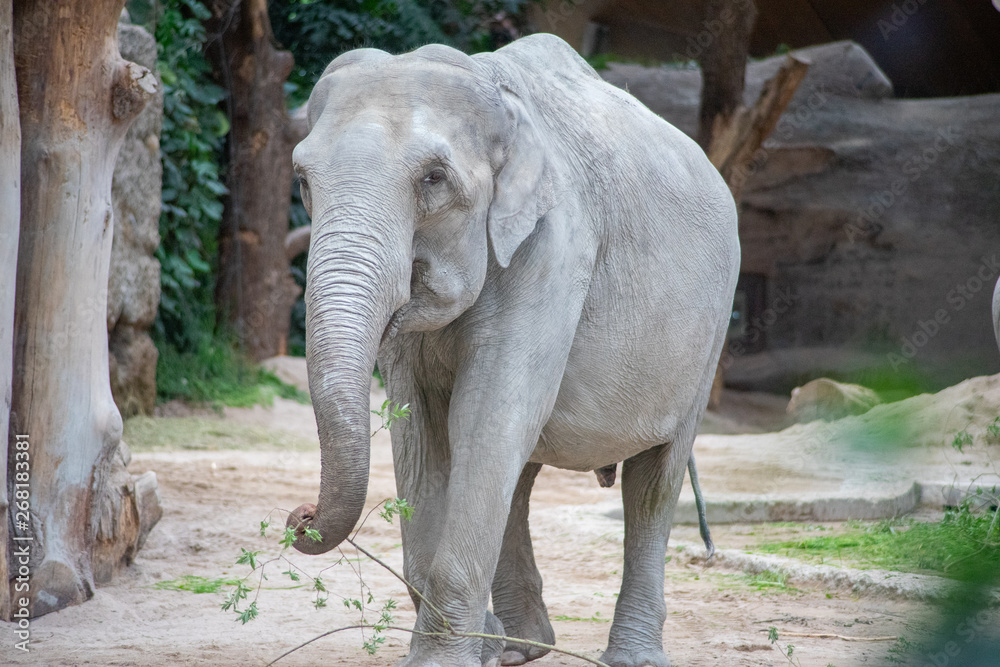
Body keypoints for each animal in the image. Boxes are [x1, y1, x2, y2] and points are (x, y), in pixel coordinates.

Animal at [286, 33, 740, 667]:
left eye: (433, 178)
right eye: (303, 180)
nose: (299, 517)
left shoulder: (554, 249)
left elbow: (484, 418)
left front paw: (446, 660)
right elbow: (420, 430)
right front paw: (482, 644)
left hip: (710, 331)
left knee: (655, 478)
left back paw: (626, 657)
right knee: (521, 478)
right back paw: (521, 647)